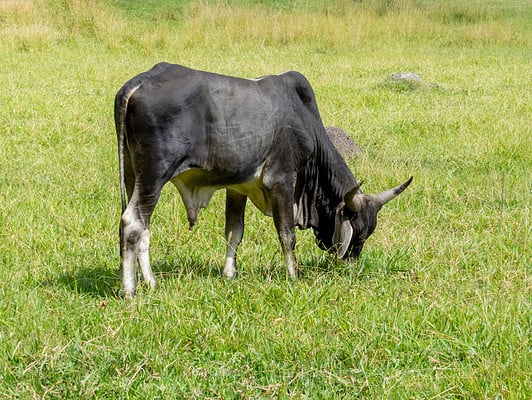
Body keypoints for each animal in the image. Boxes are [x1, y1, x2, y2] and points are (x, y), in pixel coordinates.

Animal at [115, 63, 412, 296]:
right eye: (358, 234)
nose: (350, 265)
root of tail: (140, 82)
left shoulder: (238, 187)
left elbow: (234, 231)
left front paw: (230, 273)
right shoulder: (281, 181)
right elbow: (287, 234)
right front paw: (293, 275)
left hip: (132, 173)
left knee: (144, 226)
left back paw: (151, 282)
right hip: (155, 174)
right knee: (133, 222)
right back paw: (130, 290)